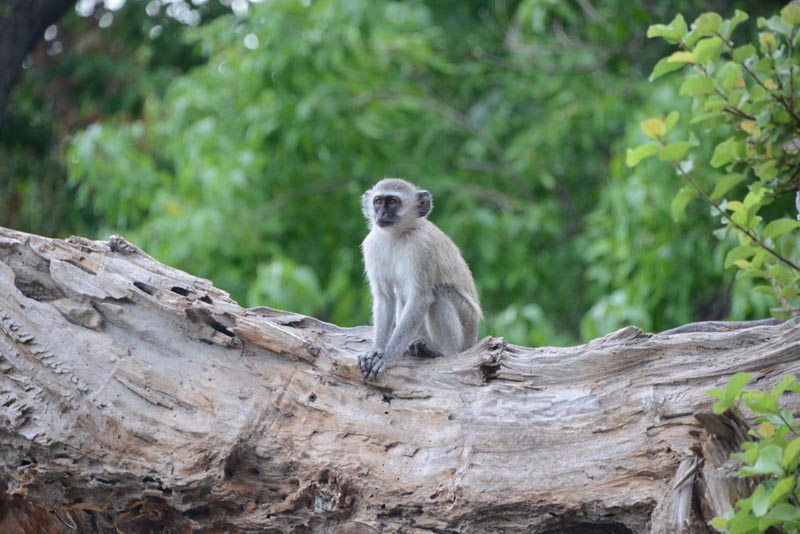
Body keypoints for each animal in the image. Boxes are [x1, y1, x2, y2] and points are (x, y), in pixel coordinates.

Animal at [358, 179, 482, 382]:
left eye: (393, 202)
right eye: (378, 201)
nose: (381, 214)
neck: (397, 236)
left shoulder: (421, 248)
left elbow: (421, 299)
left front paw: (387, 358)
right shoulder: (371, 245)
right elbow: (385, 298)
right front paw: (376, 350)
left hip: (468, 323)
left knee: (439, 294)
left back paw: (443, 352)